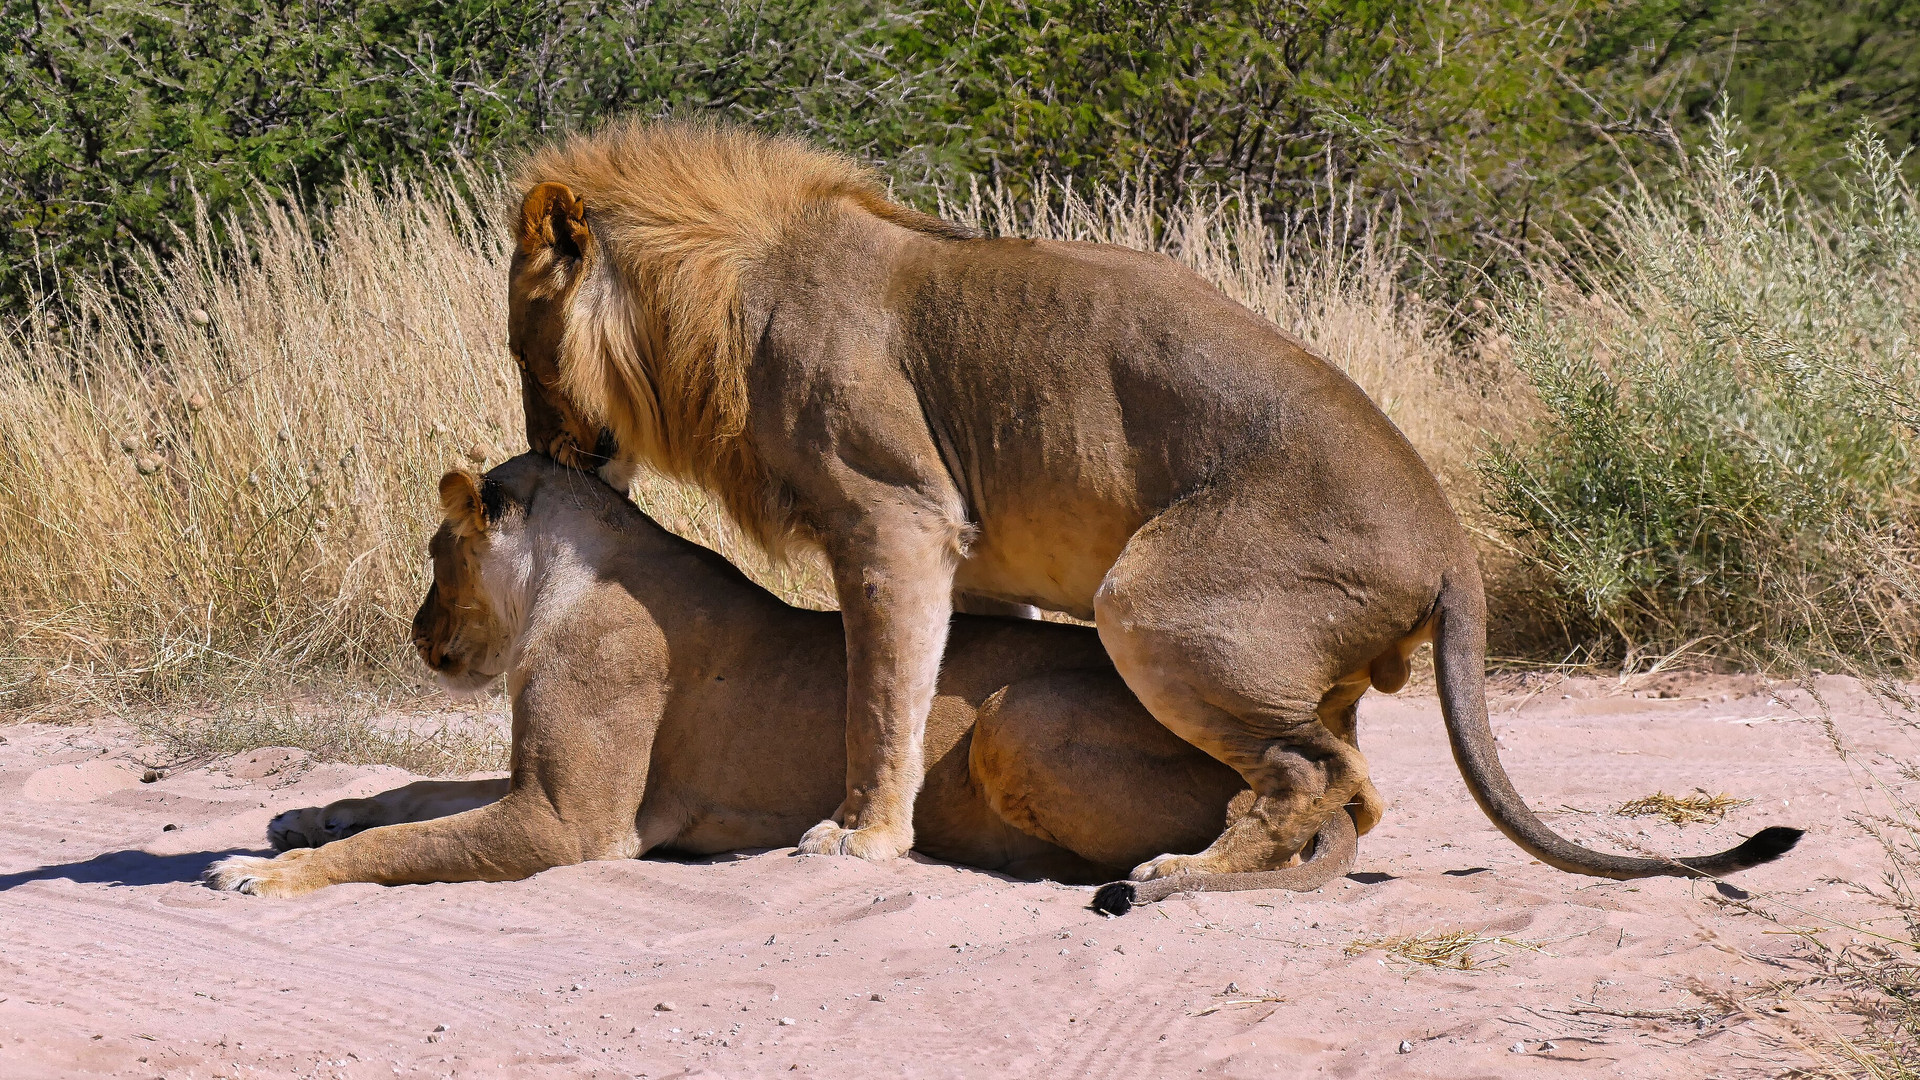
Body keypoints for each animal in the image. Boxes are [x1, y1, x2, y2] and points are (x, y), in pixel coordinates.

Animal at [210, 453, 1359, 899]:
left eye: (434, 555)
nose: (416, 633)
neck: (562, 582)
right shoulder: (537, 787)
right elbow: (407, 796)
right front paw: (299, 818)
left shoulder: (568, 824)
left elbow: (402, 844)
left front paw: (267, 873)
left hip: (1014, 715)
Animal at [506, 119, 1797, 876]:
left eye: (522, 345)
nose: (543, 452)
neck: (724, 292)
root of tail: (1453, 544)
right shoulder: (964, 553)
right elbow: (936, 680)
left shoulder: (894, 516)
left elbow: (878, 697)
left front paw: (858, 837)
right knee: (1339, 778)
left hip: (1153, 599)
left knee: (1331, 778)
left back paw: (1189, 875)